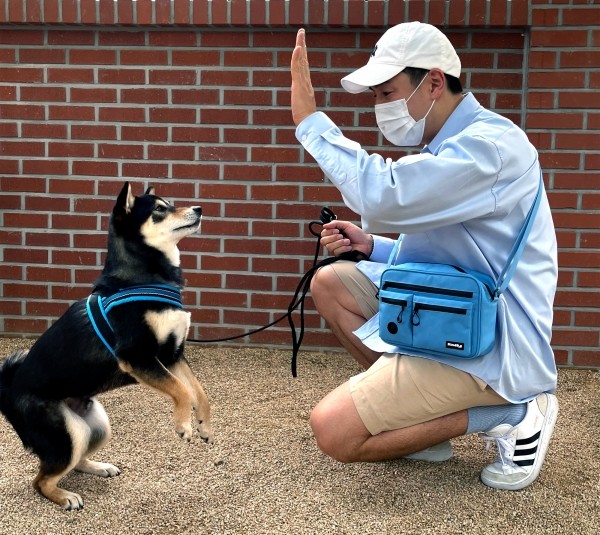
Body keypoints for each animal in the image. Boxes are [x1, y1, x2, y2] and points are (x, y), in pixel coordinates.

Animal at [0, 183, 214, 510]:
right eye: (159, 209)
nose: (199, 209)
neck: (142, 277)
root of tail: (8, 390)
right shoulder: (139, 357)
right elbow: (181, 390)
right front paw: (183, 424)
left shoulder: (172, 355)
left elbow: (198, 392)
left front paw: (202, 423)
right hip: (68, 433)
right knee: (41, 480)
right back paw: (64, 497)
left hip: (97, 426)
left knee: (73, 464)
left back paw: (99, 467)